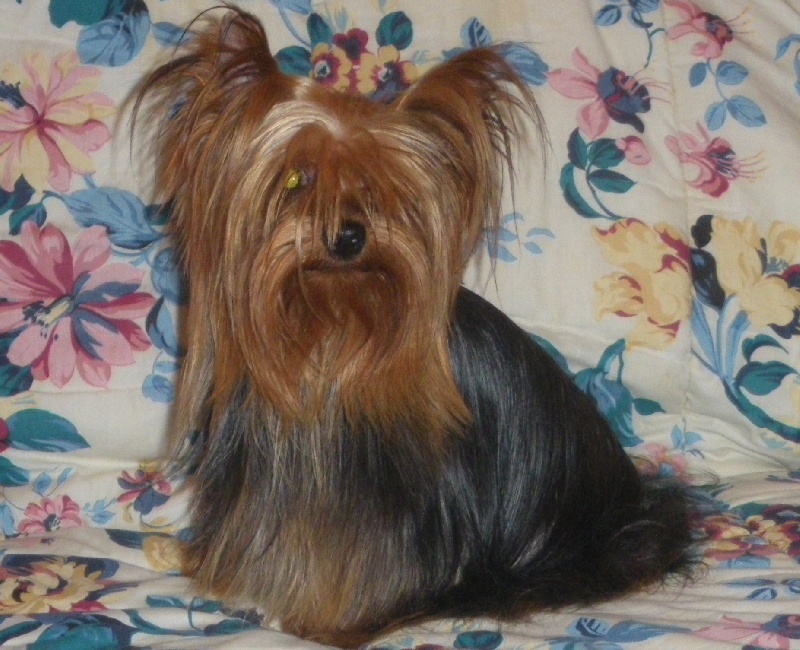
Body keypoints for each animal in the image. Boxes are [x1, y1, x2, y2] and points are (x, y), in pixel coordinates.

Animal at [136, 6, 694, 647]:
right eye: (297, 180)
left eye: (379, 190)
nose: (347, 236)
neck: (326, 341)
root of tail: (633, 506)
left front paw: (321, 620)